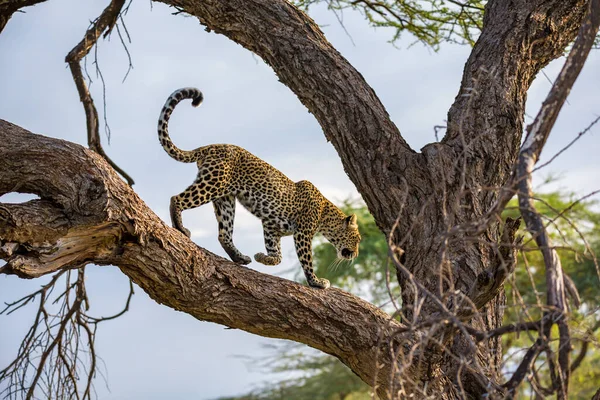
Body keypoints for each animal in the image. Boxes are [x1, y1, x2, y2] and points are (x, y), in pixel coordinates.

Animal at [157, 87, 360, 290]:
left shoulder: (271, 226)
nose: (356, 254)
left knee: (224, 233)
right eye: (357, 239)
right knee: (177, 199)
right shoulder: (302, 233)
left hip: (226, 199)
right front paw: (316, 282)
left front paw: (262, 258)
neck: (325, 215)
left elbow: (277, 256)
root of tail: (210, 146)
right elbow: (306, 259)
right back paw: (181, 228)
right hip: (213, 183)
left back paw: (240, 257)